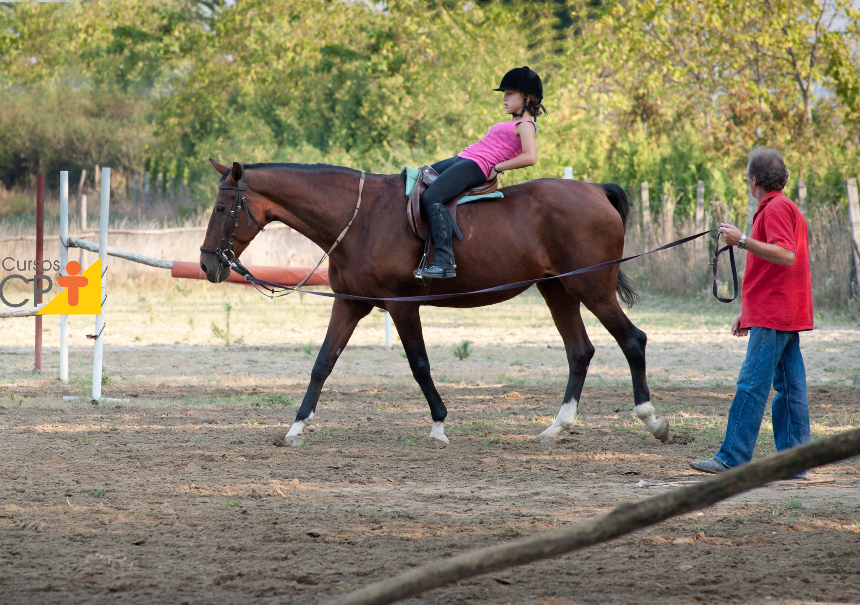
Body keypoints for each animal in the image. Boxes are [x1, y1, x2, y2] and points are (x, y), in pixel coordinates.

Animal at [198, 159, 668, 444]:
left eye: (222, 208)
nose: (207, 264)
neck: (362, 219)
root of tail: (595, 191)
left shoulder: (402, 306)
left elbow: (419, 365)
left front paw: (439, 424)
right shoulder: (349, 304)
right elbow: (322, 363)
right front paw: (296, 426)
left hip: (592, 289)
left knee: (633, 340)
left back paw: (652, 419)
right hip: (558, 290)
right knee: (580, 352)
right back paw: (557, 427)